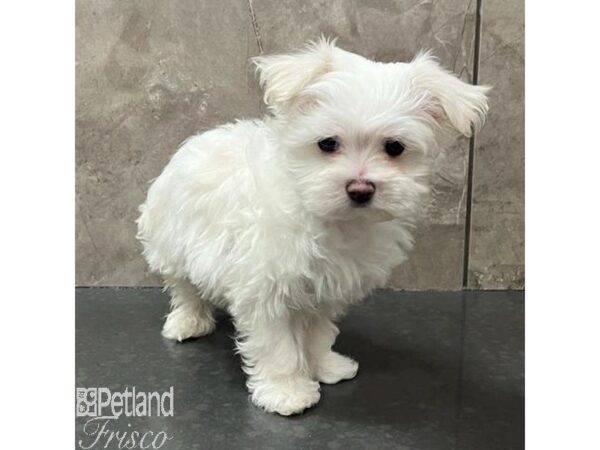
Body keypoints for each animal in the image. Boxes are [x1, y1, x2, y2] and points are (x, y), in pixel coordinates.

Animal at [136, 37, 488, 414]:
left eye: (395, 147)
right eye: (327, 143)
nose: (360, 189)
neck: (332, 218)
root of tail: (197, 140)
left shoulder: (327, 287)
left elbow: (317, 332)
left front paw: (323, 366)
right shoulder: (266, 287)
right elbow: (277, 344)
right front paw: (287, 391)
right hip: (172, 236)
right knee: (183, 285)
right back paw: (189, 320)